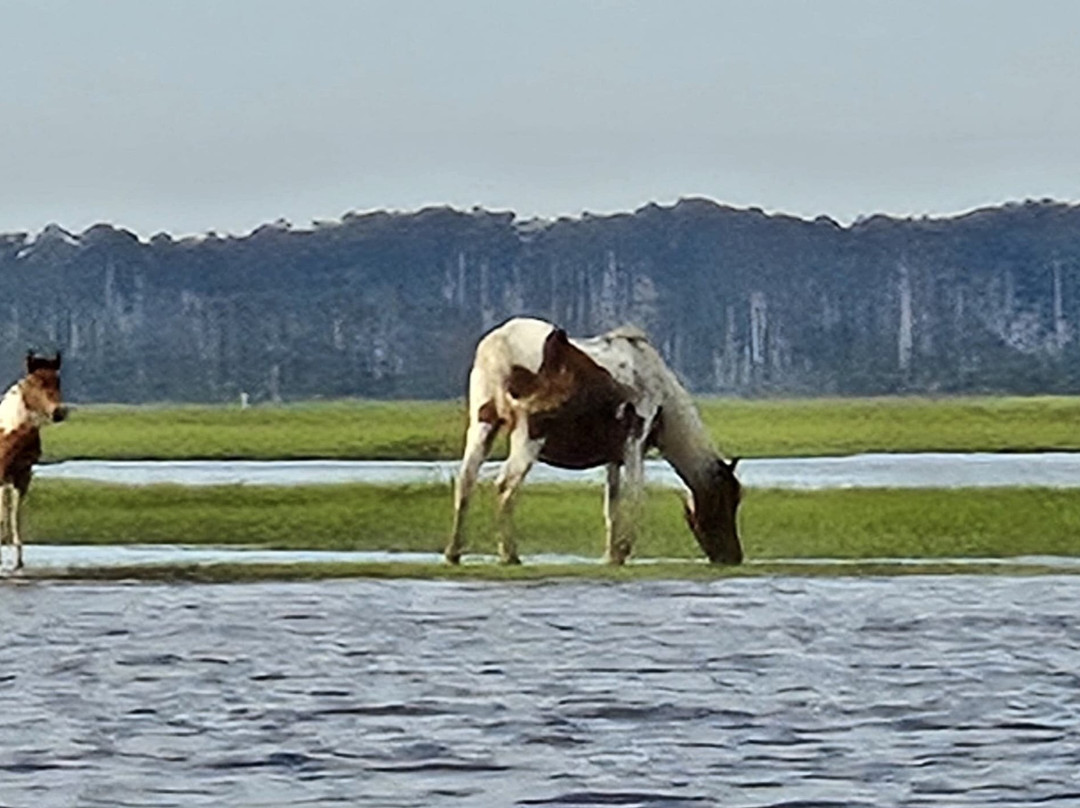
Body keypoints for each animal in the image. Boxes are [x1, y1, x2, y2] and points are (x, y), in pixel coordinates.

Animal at [0, 352, 67, 571]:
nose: (58, 412)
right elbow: (3, 514)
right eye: (35, 382)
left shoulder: (23, 475)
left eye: (58, 381)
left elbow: (14, 515)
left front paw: (18, 561)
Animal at [445, 317, 742, 566]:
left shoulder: (613, 457)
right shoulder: (635, 442)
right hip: (529, 434)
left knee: (466, 479)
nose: (733, 556)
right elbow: (636, 497)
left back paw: (454, 552)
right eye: (726, 501)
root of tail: (497, 346)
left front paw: (610, 554)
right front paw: (622, 551)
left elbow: (612, 506)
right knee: (505, 485)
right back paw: (509, 554)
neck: (664, 402)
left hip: (482, 425)